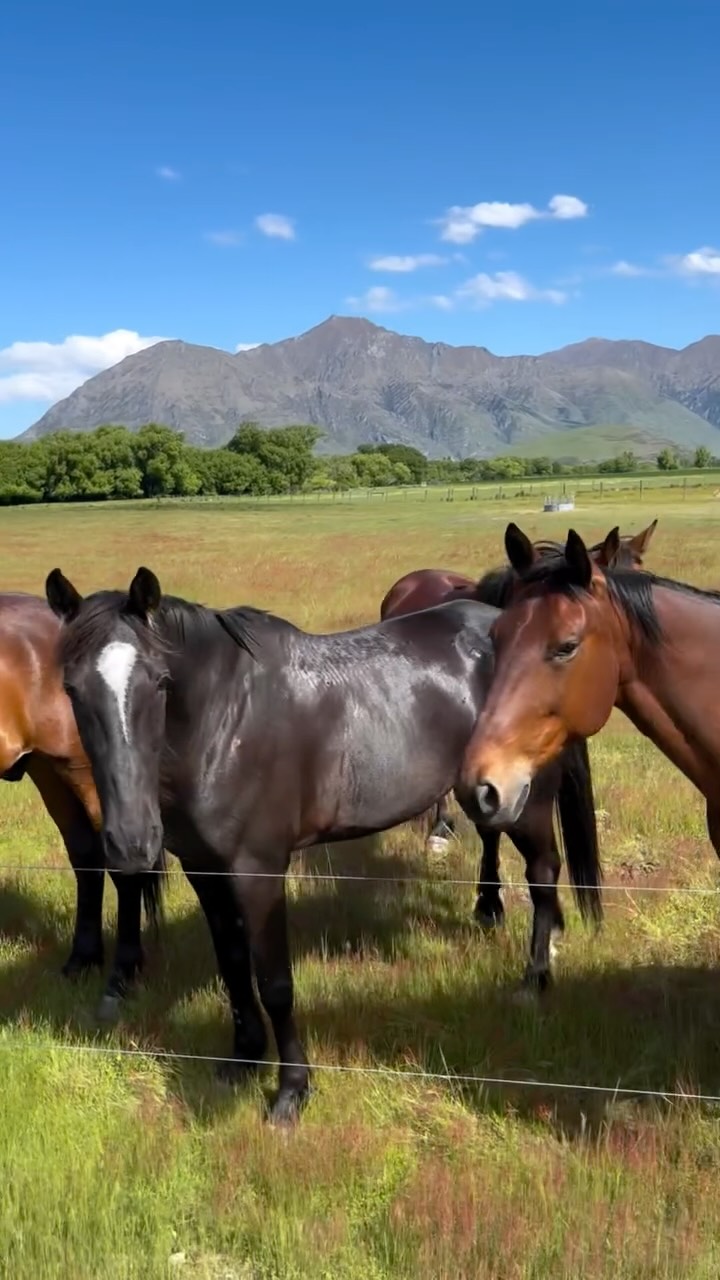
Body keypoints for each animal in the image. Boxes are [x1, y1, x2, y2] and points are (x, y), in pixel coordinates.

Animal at [0, 592, 165, 1018]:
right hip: (48, 768)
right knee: (86, 855)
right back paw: (82, 961)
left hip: (83, 772)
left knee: (122, 865)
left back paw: (121, 976)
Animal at [45, 566, 601, 1123]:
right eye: (70, 688)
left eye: (160, 681)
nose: (131, 843)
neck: (225, 719)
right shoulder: (205, 870)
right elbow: (233, 968)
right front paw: (242, 1061)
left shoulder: (259, 870)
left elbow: (274, 983)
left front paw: (291, 1091)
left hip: (526, 805)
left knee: (543, 874)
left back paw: (535, 978)